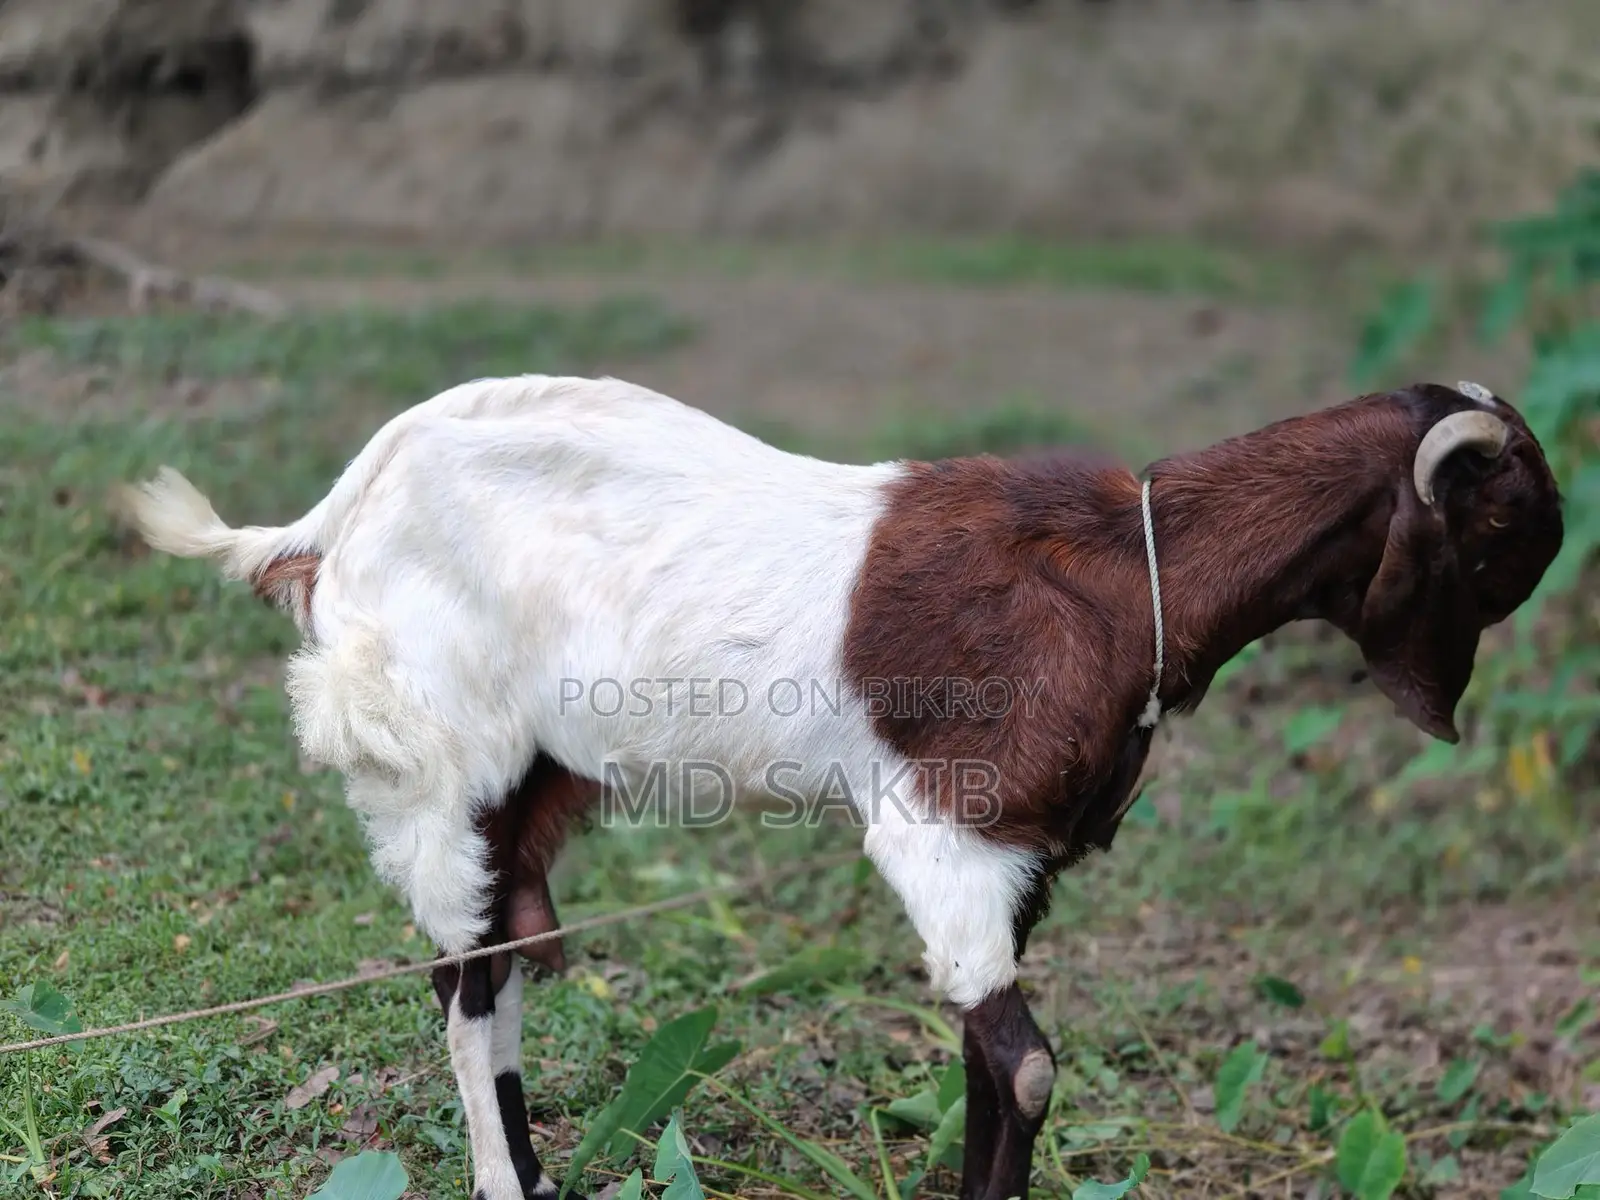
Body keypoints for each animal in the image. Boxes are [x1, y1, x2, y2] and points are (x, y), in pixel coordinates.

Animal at [115, 375, 1562, 1200]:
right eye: (1505, 528)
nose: (1465, 699)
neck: (1132, 572)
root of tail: (326, 523)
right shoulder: (940, 826)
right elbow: (1029, 1070)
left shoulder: (1020, 860)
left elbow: (985, 1060)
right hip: (446, 763)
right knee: (466, 990)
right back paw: (504, 1185)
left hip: (532, 780)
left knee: (501, 969)